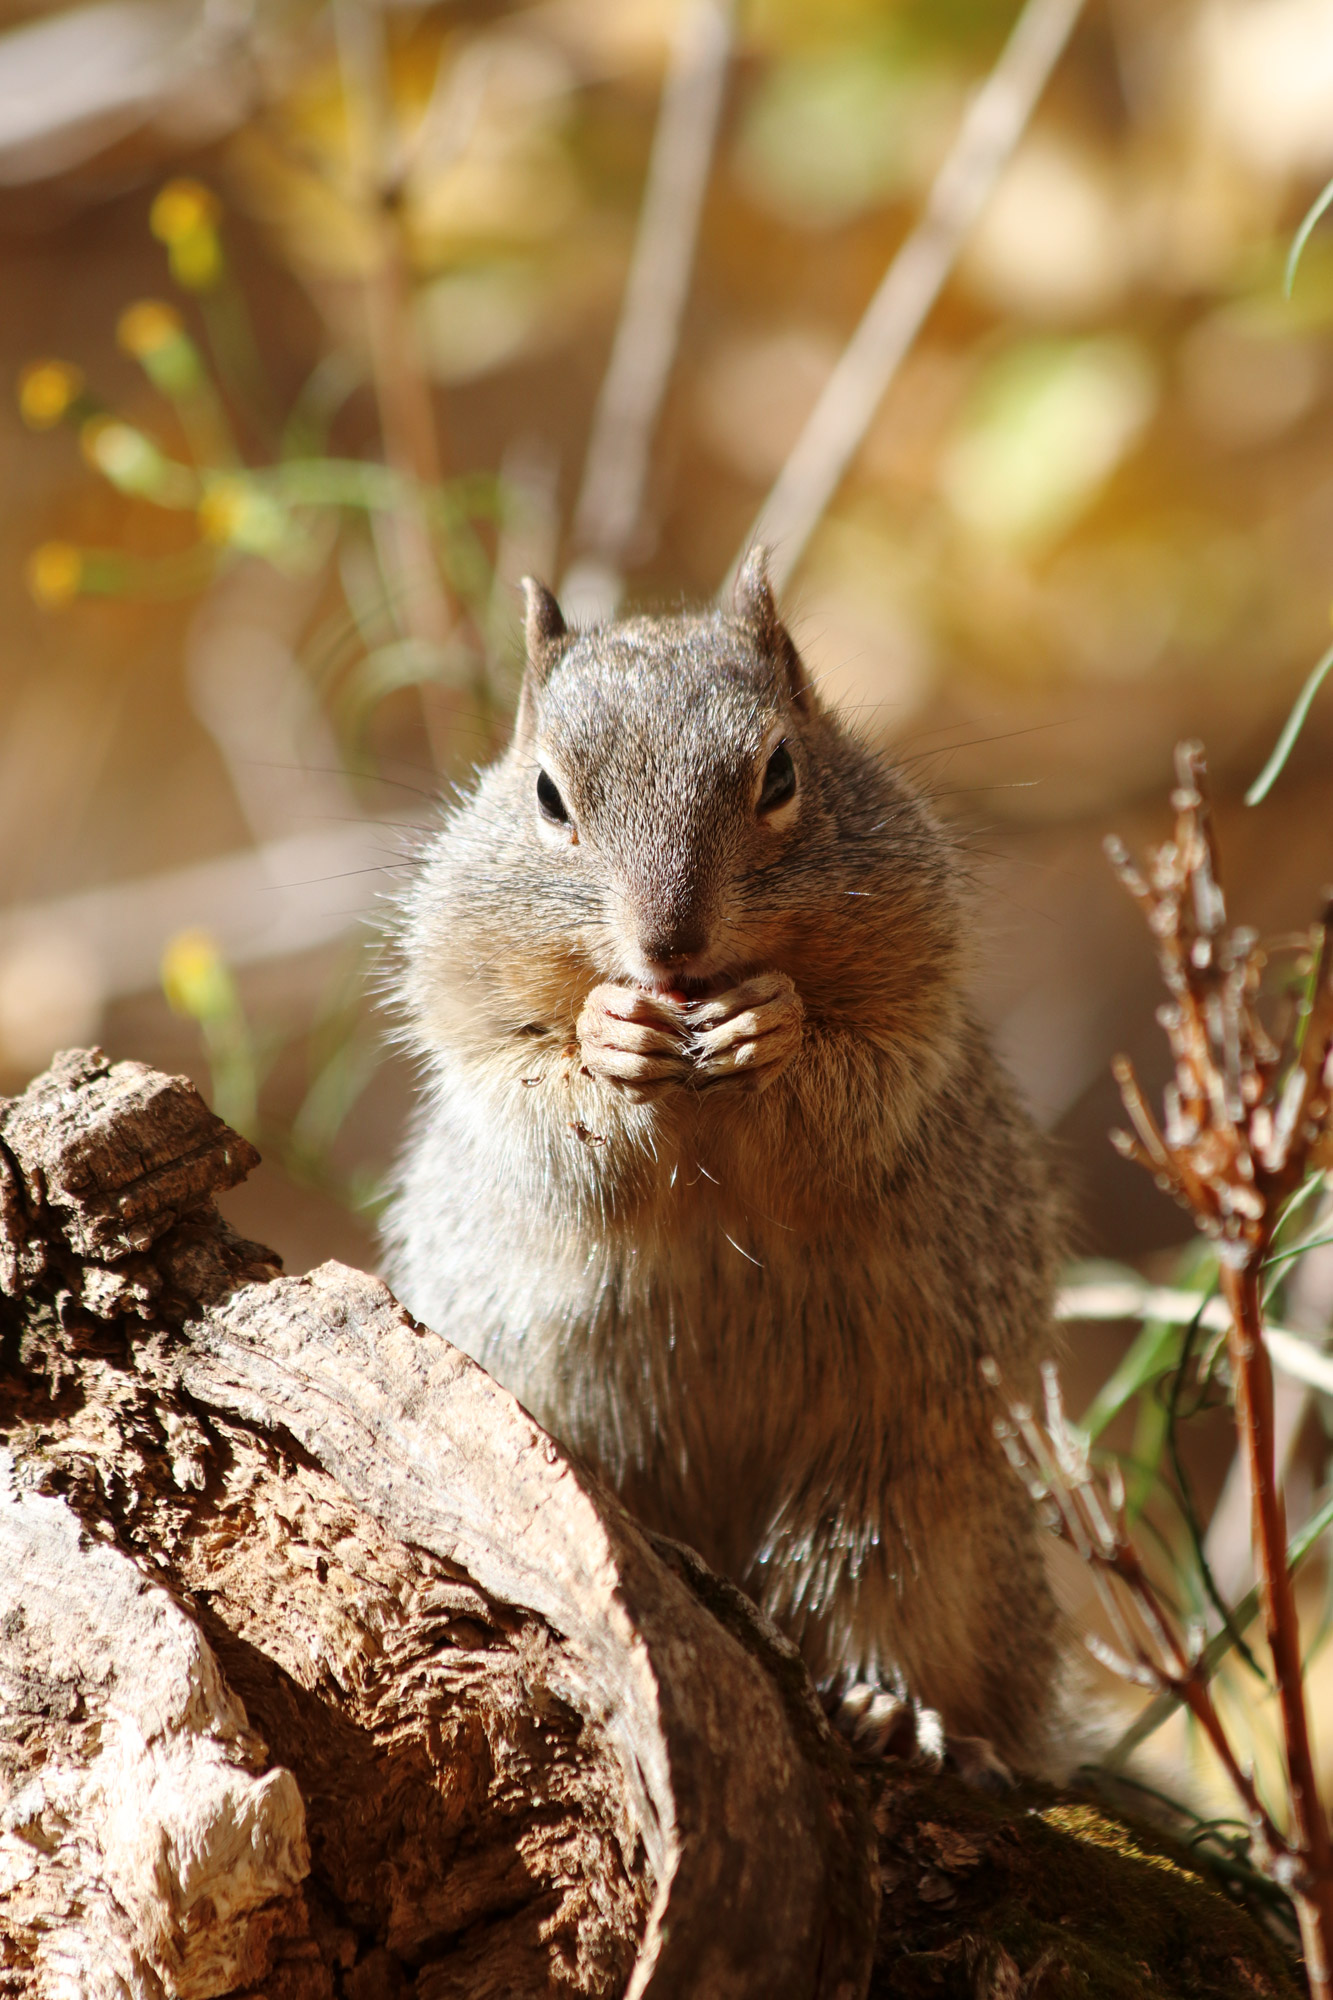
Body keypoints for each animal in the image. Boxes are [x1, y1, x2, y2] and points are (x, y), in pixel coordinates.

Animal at [378, 552, 1064, 1784]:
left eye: (780, 771)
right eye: (546, 795)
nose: (670, 945)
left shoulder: (916, 986)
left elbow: (862, 1077)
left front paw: (769, 1023)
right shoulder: (464, 998)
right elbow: (527, 1092)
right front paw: (609, 1031)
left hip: (909, 1501)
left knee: (880, 1602)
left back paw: (894, 1706)